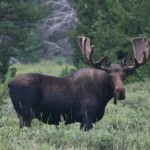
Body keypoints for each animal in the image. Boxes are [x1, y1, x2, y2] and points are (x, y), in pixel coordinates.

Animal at [8, 36, 150, 130]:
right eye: (109, 76)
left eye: (124, 75)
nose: (121, 92)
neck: (103, 96)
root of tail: (9, 84)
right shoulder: (86, 118)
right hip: (26, 114)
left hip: (20, 114)